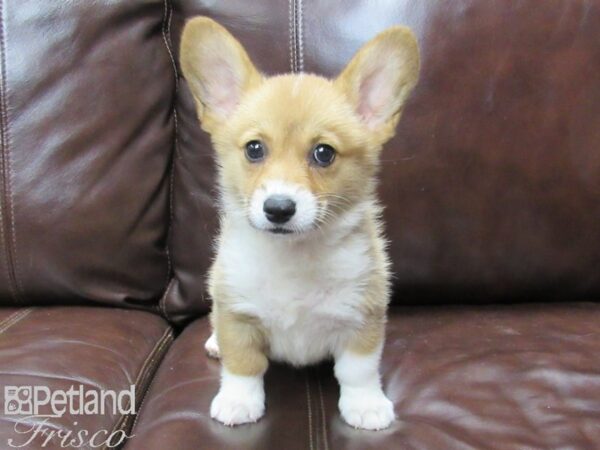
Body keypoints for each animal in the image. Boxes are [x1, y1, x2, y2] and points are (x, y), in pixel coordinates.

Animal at [180, 17, 420, 430]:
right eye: (254, 149)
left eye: (324, 153)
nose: (278, 208)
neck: (293, 255)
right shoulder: (238, 314)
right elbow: (243, 363)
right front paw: (238, 402)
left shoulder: (362, 317)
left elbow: (358, 371)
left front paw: (366, 406)